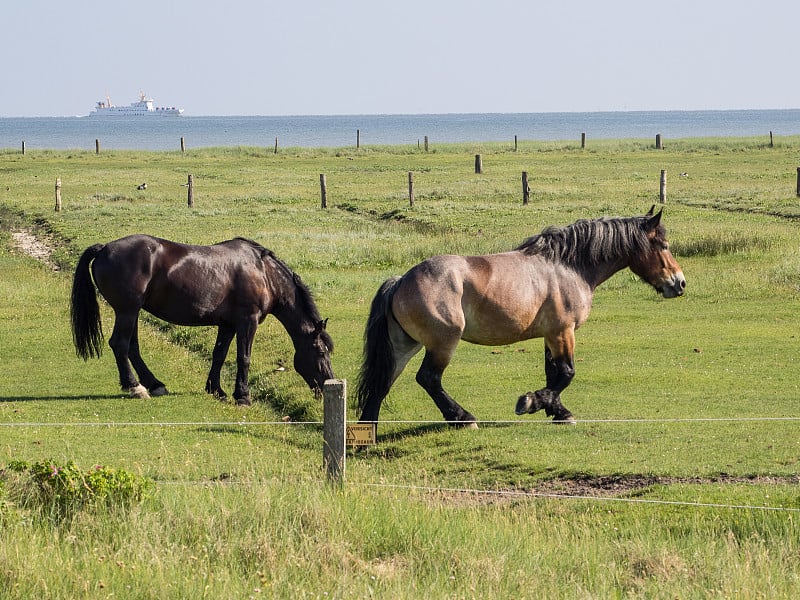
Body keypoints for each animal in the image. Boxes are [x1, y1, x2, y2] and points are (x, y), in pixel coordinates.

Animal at [69, 234, 332, 404]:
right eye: (320, 352)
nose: (327, 384)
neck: (264, 273)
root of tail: (104, 248)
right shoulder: (248, 322)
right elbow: (243, 358)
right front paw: (243, 396)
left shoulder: (227, 325)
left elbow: (219, 355)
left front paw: (217, 390)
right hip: (127, 311)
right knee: (120, 345)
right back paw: (135, 387)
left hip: (132, 312)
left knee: (132, 347)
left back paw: (154, 384)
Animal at [358, 206, 688, 426]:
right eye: (662, 245)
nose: (680, 283)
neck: (568, 266)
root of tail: (401, 281)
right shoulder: (563, 332)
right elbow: (566, 373)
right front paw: (531, 402)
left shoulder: (551, 334)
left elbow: (553, 373)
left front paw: (557, 411)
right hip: (442, 343)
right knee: (429, 379)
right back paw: (462, 417)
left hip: (404, 347)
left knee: (383, 382)